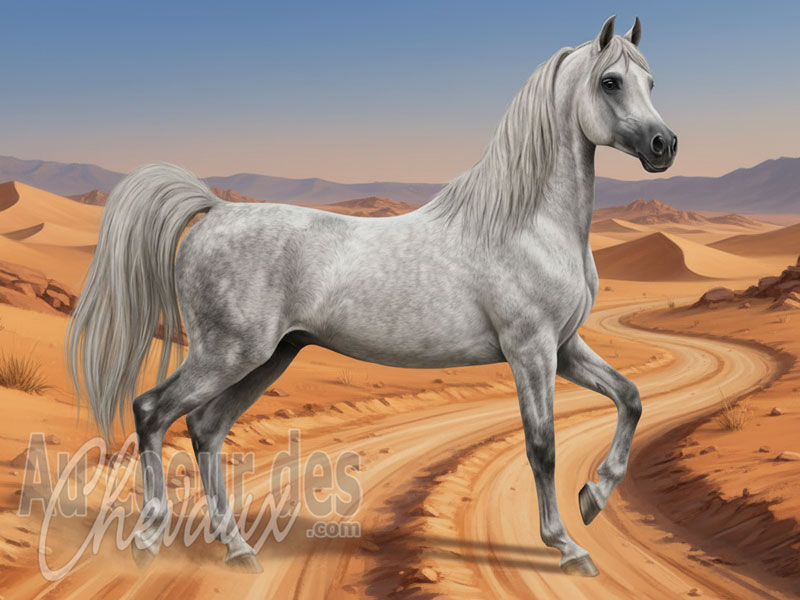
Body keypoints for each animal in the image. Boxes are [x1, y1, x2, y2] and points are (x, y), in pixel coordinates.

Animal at [67, 15, 676, 577]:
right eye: (611, 82)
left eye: (651, 82)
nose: (664, 146)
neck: (526, 223)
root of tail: (214, 210)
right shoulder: (531, 350)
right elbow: (542, 446)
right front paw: (568, 546)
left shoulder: (565, 346)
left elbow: (630, 398)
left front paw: (594, 497)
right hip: (228, 354)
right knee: (151, 411)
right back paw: (149, 539)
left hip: (268, 358)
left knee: (205, 429)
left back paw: (238, 549)